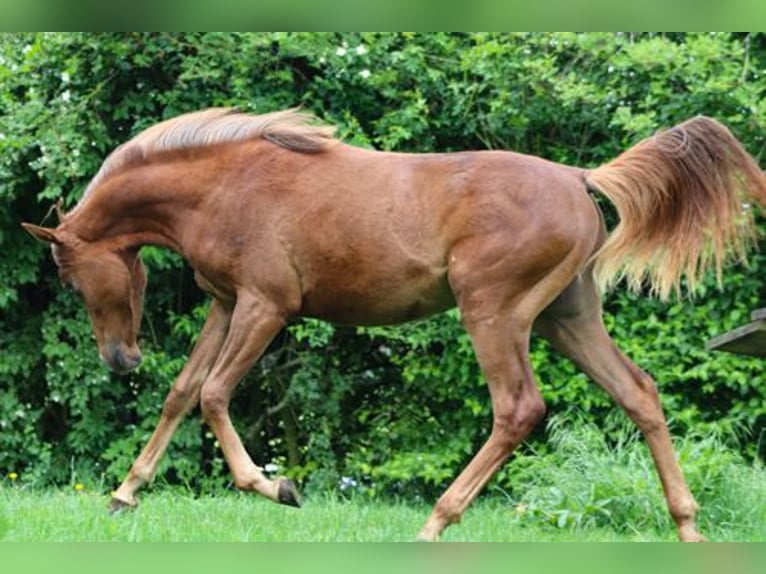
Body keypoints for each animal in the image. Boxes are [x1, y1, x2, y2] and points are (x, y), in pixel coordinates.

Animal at [21, 109, 764, 544]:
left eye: (72, 278)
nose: (119, 360)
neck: (227, 182)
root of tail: (581, 179)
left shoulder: (266, 306)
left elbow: (213, 396)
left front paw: (277, 488)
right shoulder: (226, 304)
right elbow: (181, 393)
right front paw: (124, 494)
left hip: (494, 312)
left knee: (518, 408)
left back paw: (434, 525)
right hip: (567, 317)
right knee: (638, 392)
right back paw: (688, 530)